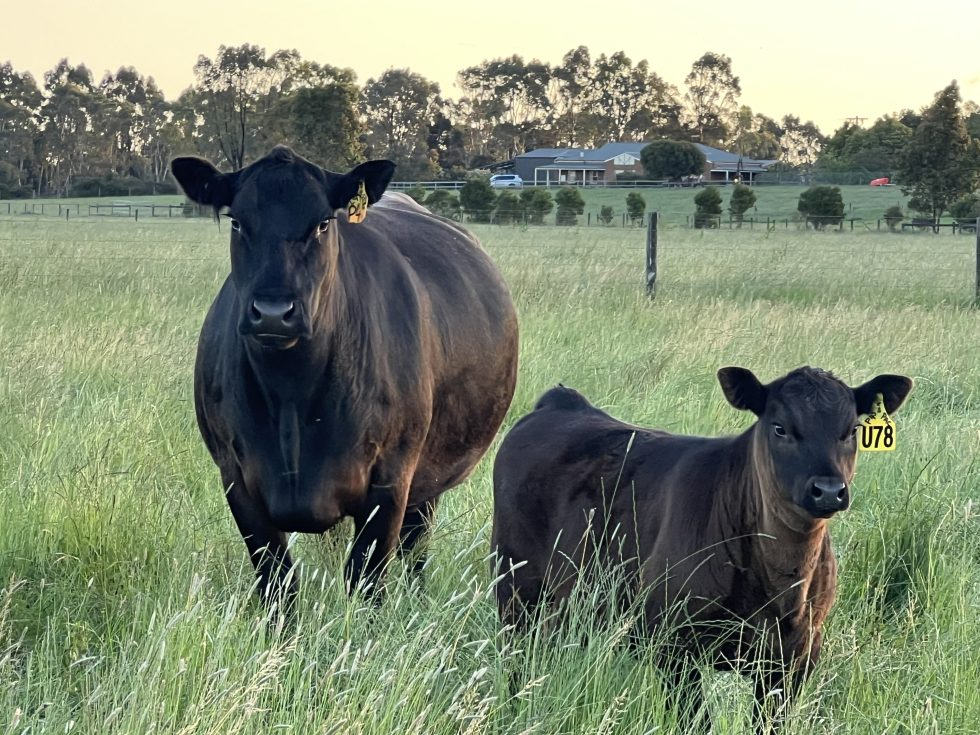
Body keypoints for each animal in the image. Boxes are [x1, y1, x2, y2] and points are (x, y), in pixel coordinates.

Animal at [170, 145, 519, 609]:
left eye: (322, 222)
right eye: (238, 221)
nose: (273, 312)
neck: (292, 397)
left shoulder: (391, 481)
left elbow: (367, 584)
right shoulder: (236, 480)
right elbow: (277, 585)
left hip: (426, 484)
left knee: (415, 551)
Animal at [492, 366, 913, 731]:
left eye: (851, 430)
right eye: (780, 428)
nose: (827, 490)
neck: (781, 583)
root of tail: (561, 402)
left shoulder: (796, 658)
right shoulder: (674, 646)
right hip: (515, 591)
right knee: (516, 666)